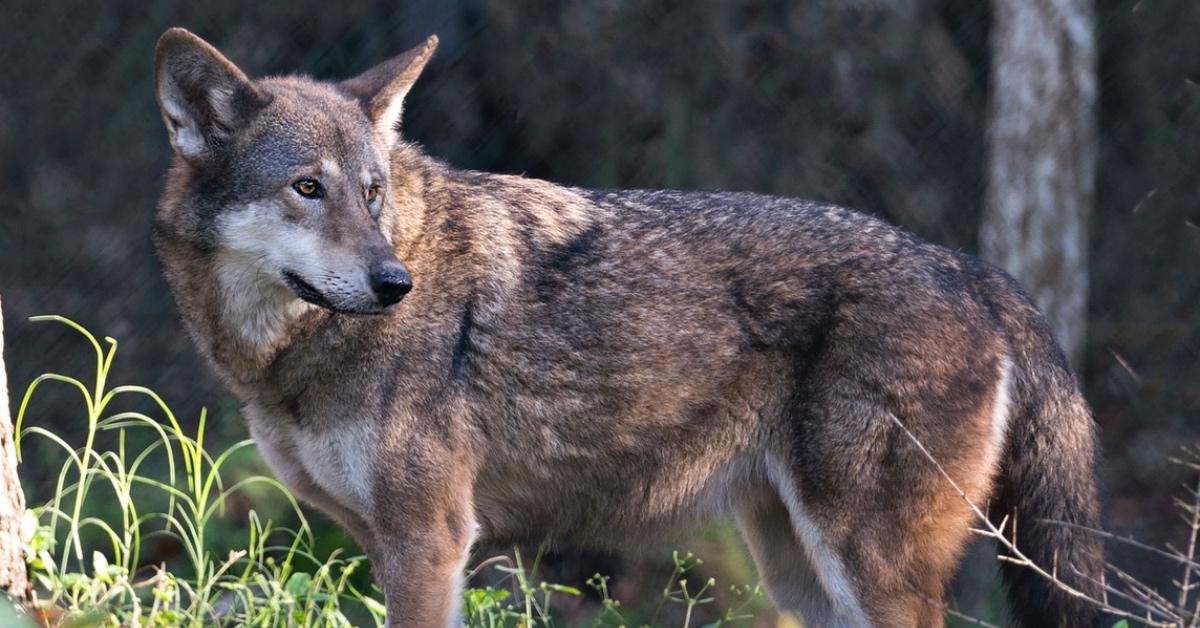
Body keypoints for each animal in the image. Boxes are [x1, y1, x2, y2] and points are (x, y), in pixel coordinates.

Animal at [150, 28, 1104, 628]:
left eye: (373, 193)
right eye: (308, 188)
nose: (395, 282)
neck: (285, 362)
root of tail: (977, 272)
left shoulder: (431, 541)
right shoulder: (384, 542)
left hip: (866, 569)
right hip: (801, 576)